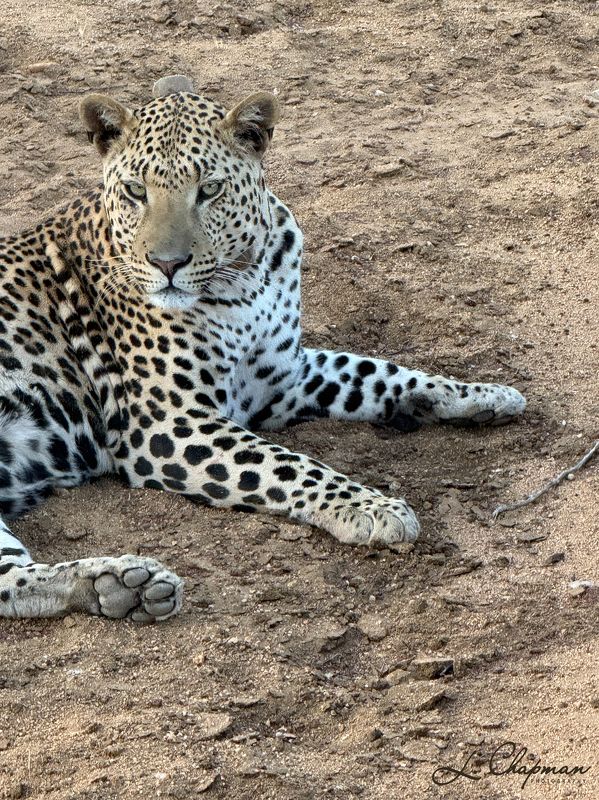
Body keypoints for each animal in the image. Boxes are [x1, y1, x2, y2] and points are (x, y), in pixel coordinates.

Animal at [0, 74, 526, 623]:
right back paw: (124, 581)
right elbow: (286, 464)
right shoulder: (168, 421)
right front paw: (374, 508)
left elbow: (374, 372)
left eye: (209, 189)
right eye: (135, 191)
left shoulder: (280, 382)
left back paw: (122, 587)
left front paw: (483, 395)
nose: (167, 264)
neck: (245, 281)